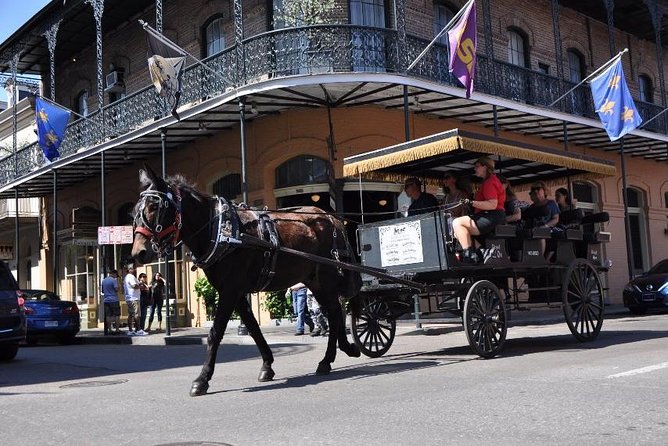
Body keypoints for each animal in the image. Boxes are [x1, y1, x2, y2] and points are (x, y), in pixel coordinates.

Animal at [129, 166, 362, 396]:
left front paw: (202, 379)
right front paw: (267, 365)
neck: (220, 231)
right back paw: (341, 351)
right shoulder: (237, 292)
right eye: (135, 211)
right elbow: (253, 327)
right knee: (334, 311)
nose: (138, 253)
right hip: (315, 282)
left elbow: (215, 333)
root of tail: (332, 218)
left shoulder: (230, 290)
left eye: (154, 206)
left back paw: (331, 357)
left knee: (334, 311)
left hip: (326, 278)